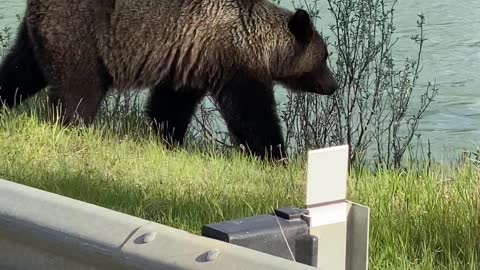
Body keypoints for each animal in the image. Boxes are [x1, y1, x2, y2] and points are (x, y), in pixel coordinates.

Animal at [0, 0, 338, 160]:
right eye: (325, 56)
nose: (333, 86)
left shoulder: (189, 60)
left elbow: (169, 107)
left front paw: (169, 140)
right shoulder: (232, 65)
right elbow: (252, 116)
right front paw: (275, 156)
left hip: (39, 34)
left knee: (19, 69)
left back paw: (4, 103)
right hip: (83, 36)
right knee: (78, 91)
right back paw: (72, 127)